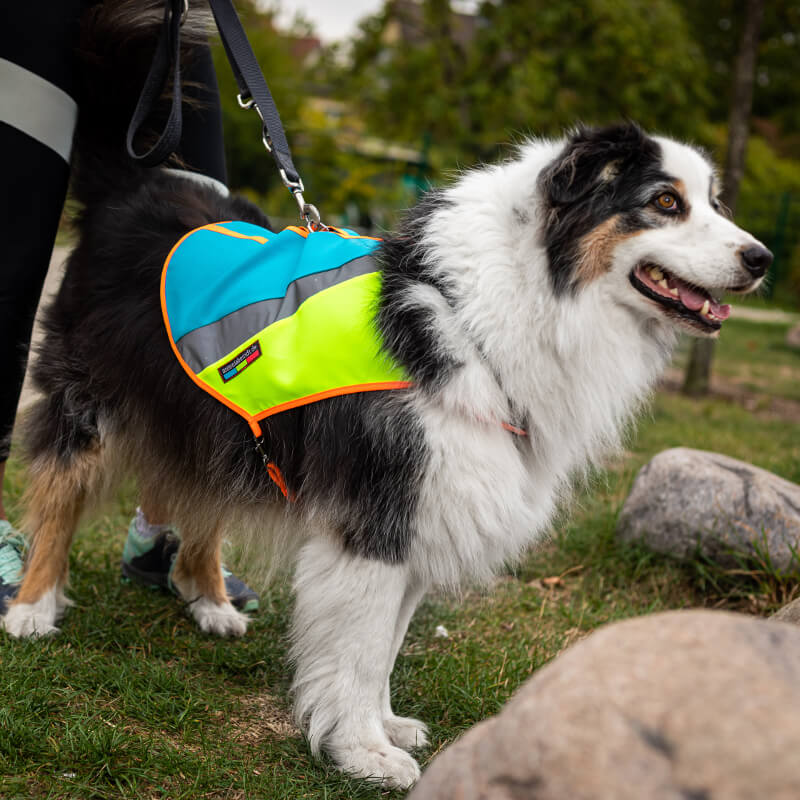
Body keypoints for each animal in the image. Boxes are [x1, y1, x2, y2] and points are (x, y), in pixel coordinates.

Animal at [3, 0, 772, 788]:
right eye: (665, 202)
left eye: (714, 202)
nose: (762, 258)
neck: (482, 311)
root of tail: (132, 182)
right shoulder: (380, 511)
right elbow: (361, 649)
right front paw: (361, 751)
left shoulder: (426, 509)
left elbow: (384, 650)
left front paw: (382, 727)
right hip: (90, 398)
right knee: (61, 492)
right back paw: (33, 606)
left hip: (222, 421)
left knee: (194, 494)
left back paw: (209, 598)